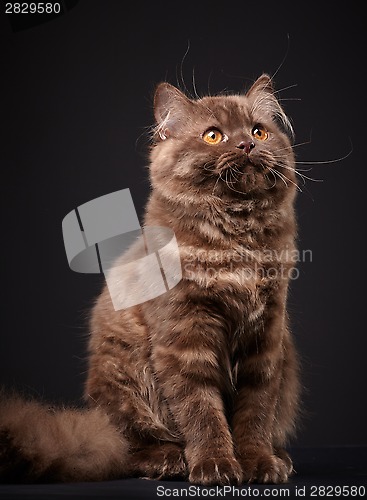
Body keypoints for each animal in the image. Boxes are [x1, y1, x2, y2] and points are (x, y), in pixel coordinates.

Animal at [0, 74, 300, 484]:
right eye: (213, 136)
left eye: (259, 131)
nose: (247, 144)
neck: (237, 238)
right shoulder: (184, 337)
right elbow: (201, 411)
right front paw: (216, 465)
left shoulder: (266, 338)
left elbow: (255, 413)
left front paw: (259, 463)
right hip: (125, 379)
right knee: (126, 447)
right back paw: (169, 460)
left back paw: (280, 457)